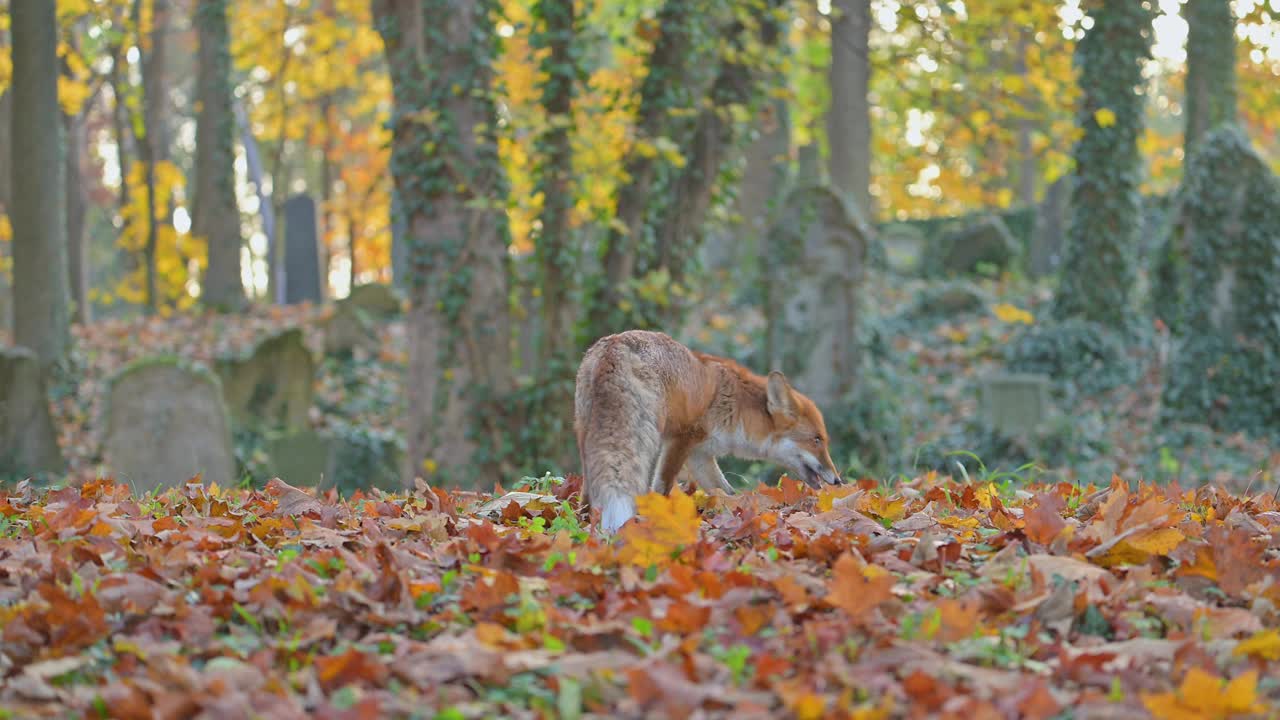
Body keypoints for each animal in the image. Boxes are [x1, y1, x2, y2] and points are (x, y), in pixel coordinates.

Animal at [576, 327, 844, 530]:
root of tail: (615, 345)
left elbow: (727, 492)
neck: (734, 405)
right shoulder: (682, 439)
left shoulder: (700, 454)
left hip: (586, 437)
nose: (838, 480)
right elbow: (662, 488)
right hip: (647, 439)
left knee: (587, 491)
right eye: (817, 440)